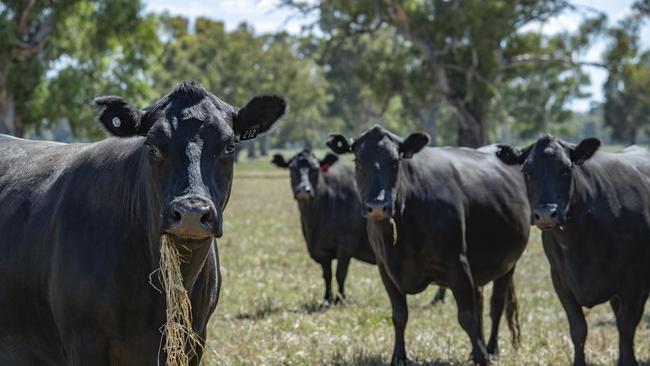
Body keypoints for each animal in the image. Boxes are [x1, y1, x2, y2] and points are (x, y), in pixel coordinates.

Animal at [326, 126, 528, 366]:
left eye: (396, 162)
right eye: (357, 160)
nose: (377, 206)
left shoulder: (457, 263)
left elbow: (466, 316)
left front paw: (482, 358)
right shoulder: (385, 268)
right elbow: (399, 315)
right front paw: (398, 357)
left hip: (508, 263)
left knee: (496, 305)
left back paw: (491, 349)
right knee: (479, 300)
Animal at [496, 137, 648, 366]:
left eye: (566, 170)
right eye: (527, 172)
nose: (546, 214)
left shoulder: (634, 279)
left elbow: (626, 325)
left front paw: (629, 361)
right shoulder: (560, 279)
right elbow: (578, 328)